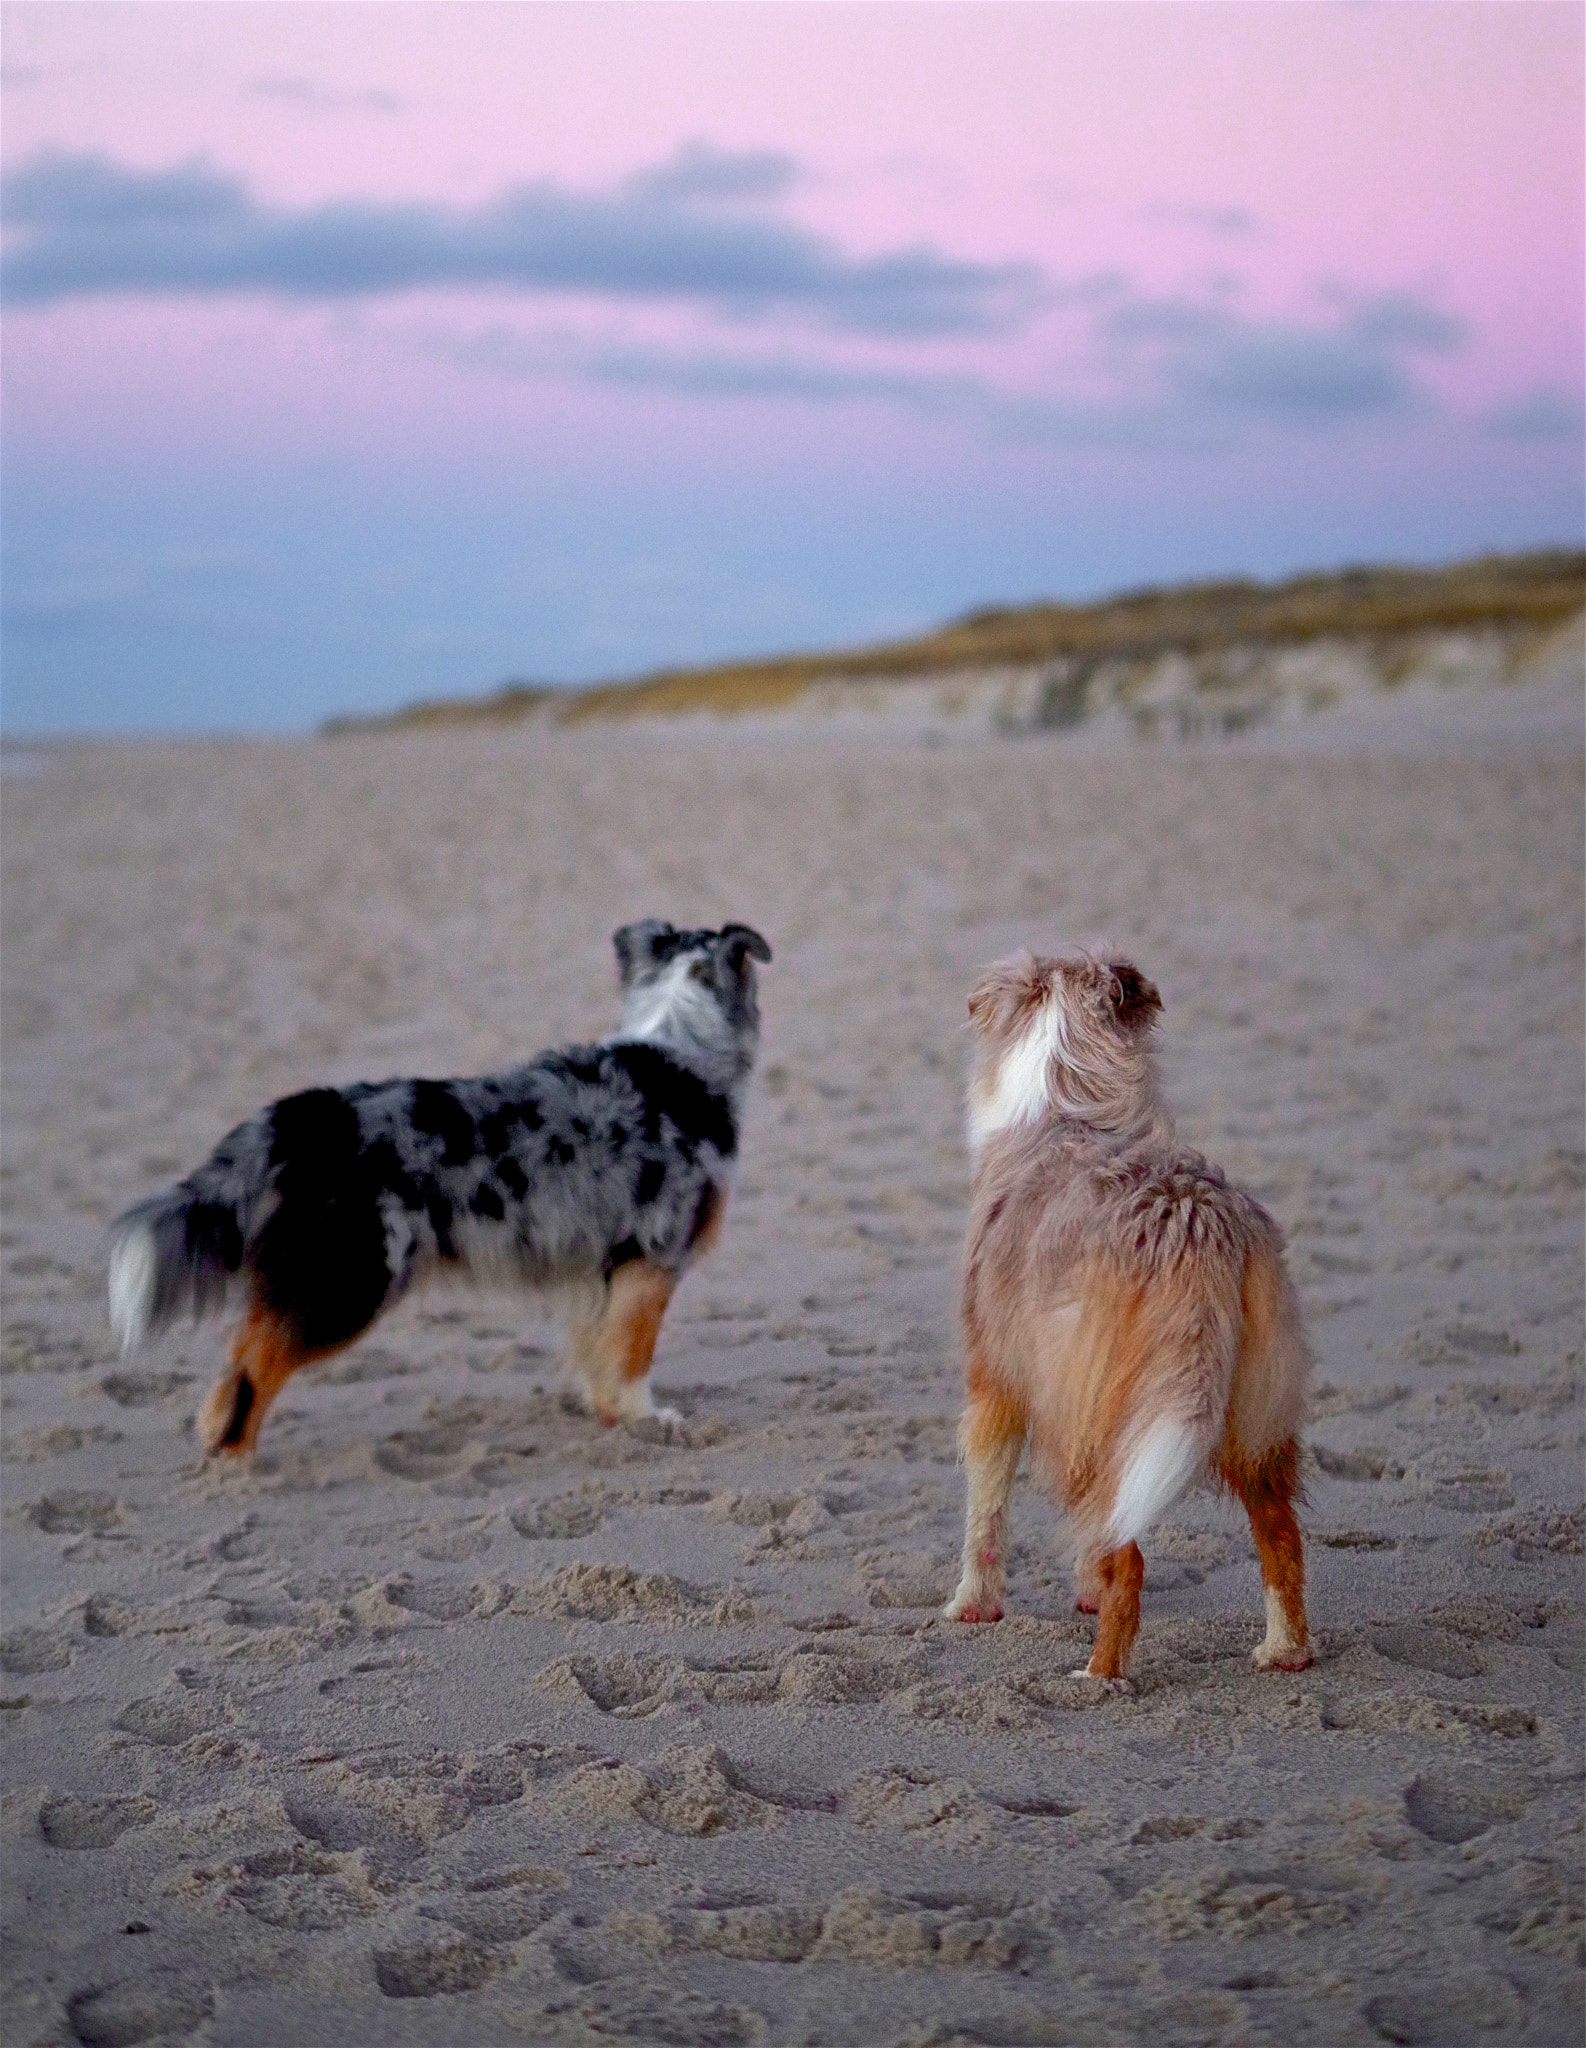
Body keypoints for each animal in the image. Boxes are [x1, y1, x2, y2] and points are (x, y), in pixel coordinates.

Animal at [103, 929, 770, 1458]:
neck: (680, 1053)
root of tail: (311, 1116)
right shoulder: (650, 1262)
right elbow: (632, 1354)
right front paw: (648, 1420)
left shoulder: (599, 1271)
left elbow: (596, 1352)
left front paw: (607, 1416)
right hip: (350, 1281)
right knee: (254, 1366)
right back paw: (236, 1462)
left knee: (241, 1350)